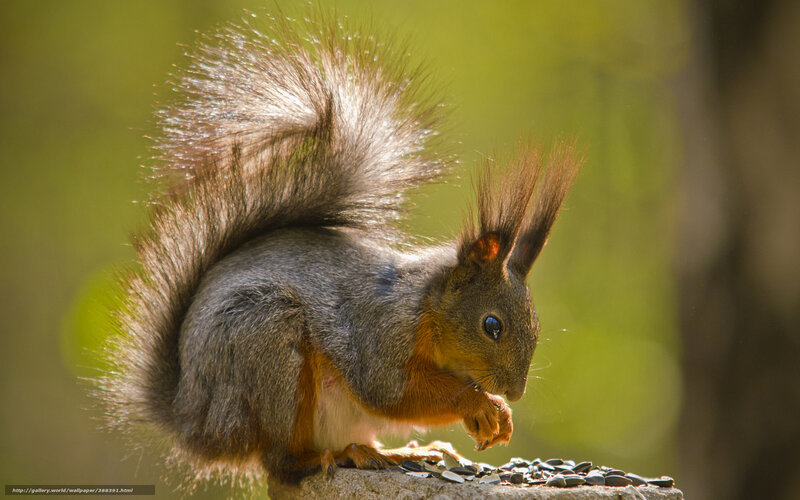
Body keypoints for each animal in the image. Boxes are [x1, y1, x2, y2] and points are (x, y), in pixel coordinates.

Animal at [97, 11, 580, 487]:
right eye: (491, 325)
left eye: (535, 325)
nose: (515, 390)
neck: (424, 305)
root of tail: (193, 422)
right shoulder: (377, 334)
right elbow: (390, 392)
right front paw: (483, 405)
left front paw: (498, 414)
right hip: (268, 349)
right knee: (280, 461)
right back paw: (327, 457)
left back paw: (394, 451)